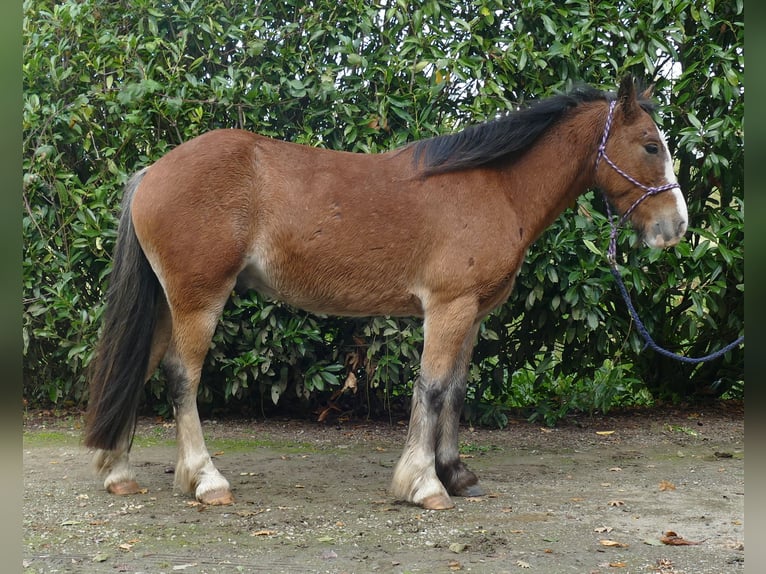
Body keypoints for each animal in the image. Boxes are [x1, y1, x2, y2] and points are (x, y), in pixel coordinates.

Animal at [84, 74, 688, 510]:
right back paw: (207, 480)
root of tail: (152, 172)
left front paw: (455, 473)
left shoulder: (471, 315)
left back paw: (118, 473)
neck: (496, 187)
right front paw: (424, 485)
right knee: (181, 377)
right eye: (650, 146)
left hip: (169, 303)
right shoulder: (448, 307)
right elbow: (434, 389)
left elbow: (456, 391)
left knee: (141, 366)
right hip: (199, 299)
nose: (677, 227)